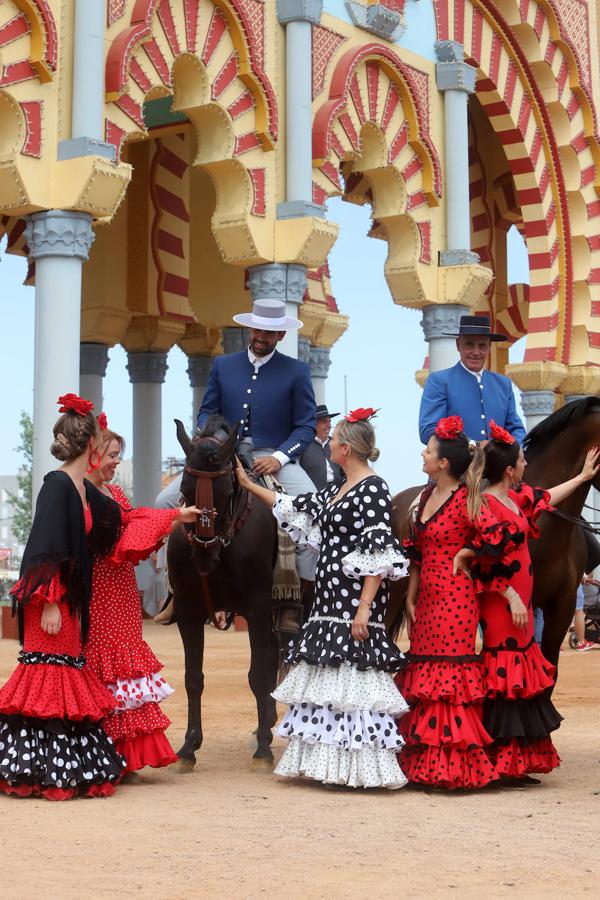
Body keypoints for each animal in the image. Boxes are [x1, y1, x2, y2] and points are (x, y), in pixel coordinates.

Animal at [166, 414, 278, 768]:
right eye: (185, 489)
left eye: (227, 490)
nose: (204, 554)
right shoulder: (188, 612)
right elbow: (193, 678)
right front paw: (189, 745)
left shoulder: (258, 610)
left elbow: (258, 675)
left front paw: (264, 748)